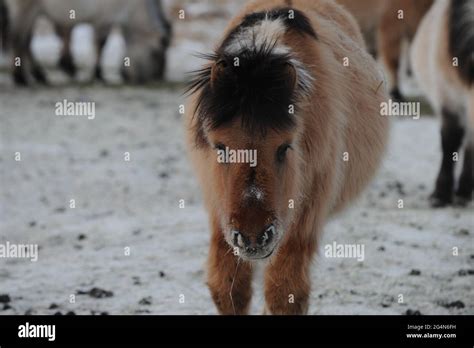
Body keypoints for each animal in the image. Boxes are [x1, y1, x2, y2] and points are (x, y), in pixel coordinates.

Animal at [4, 0, 171, 85]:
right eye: (156, 53)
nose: (156, 78)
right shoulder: (104, 20)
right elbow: (101, 44)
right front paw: (98, 74)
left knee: (25, 42)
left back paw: (39, 75)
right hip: (26, 10)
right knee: (18, 40)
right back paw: (20, 78)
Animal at [185, 0, 388, 316]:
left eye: (284, 147)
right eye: (220, 147)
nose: (253, 236)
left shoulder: (302, 223)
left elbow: (285, 295)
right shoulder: (219, 214)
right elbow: (229, 289)